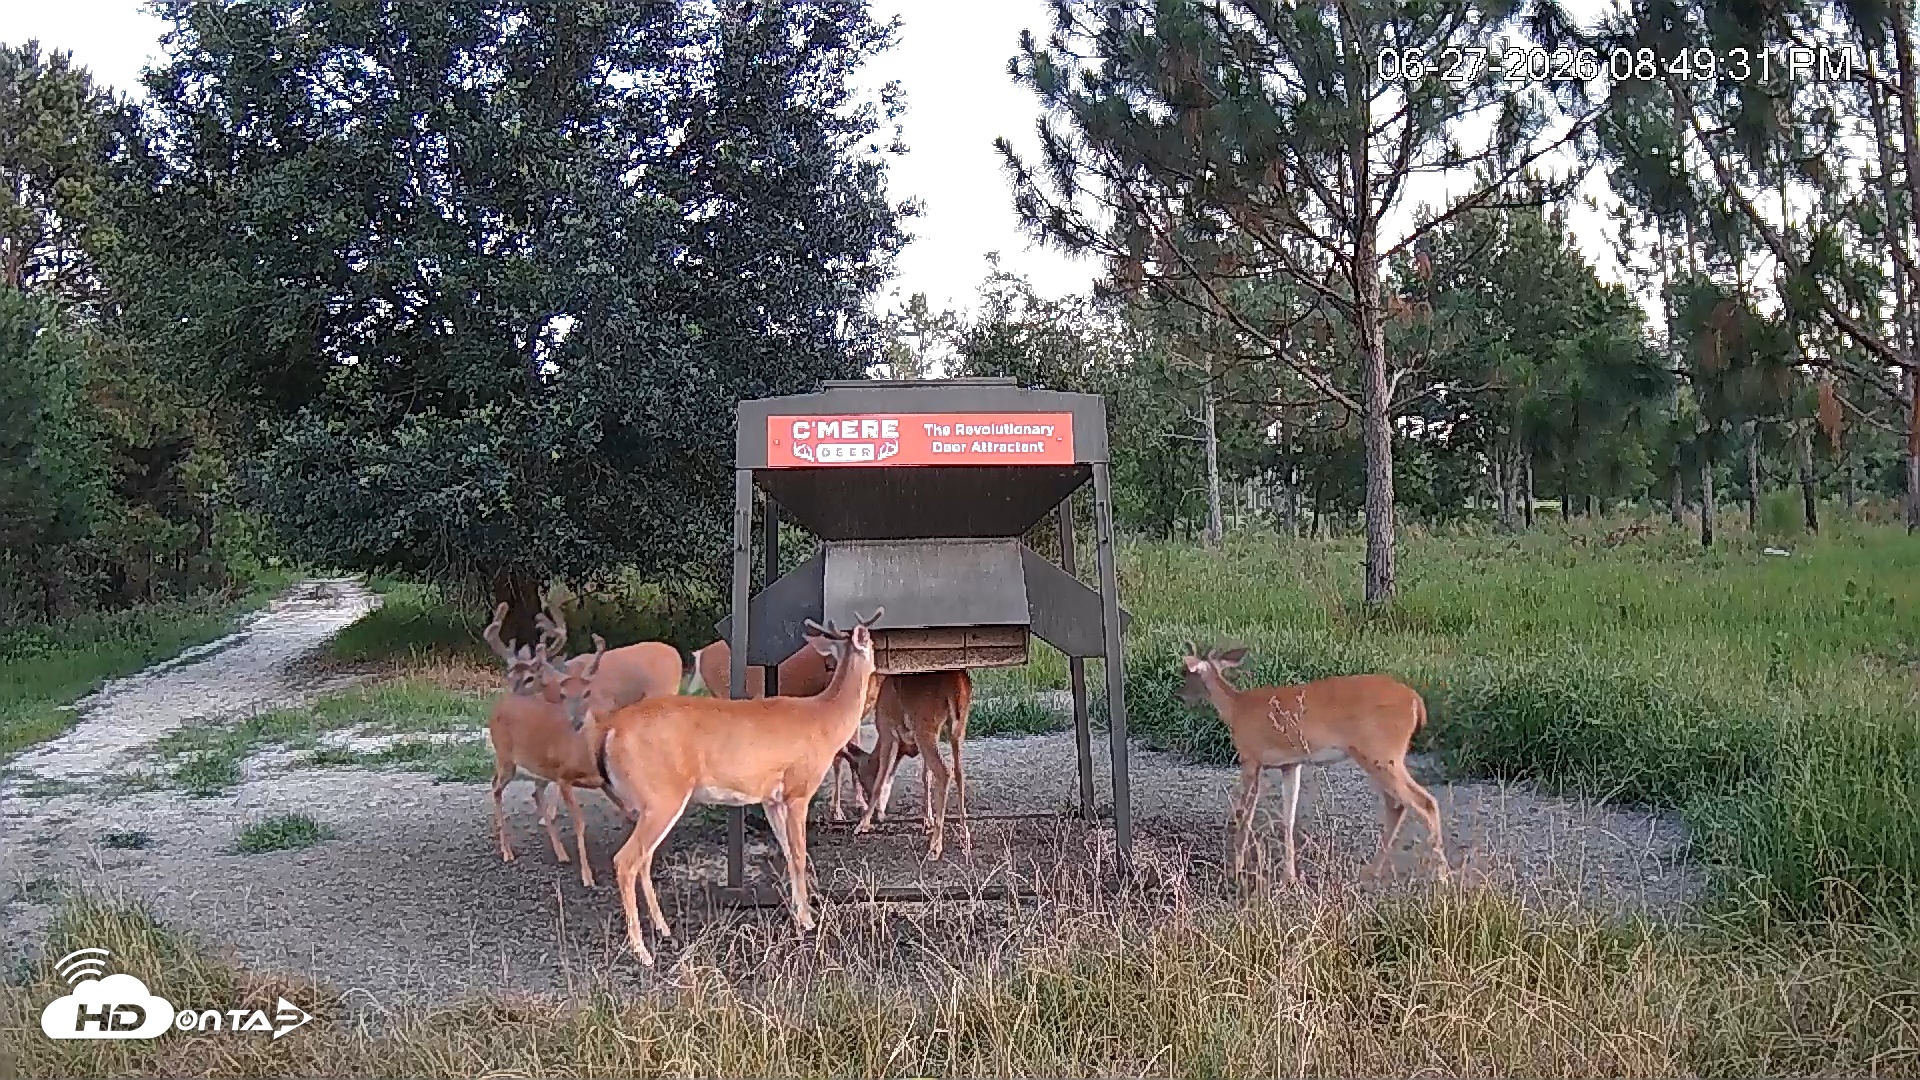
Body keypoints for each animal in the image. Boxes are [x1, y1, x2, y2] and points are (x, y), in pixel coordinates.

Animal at [841, 669, 970, 859]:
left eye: (863, 778)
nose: (879, 815)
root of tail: (957, 686)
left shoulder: (888, 731)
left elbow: (881, 778)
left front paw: (862, 824)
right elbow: (925, 776)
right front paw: (928, 820)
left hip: (925, 727)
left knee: (944, 772)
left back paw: (935, 847)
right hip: (959, 728)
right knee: (959, 772)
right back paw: (965, 837)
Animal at [1179, 643, 1449, 885]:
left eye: (1187, 672)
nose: (1180, 695)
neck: (1235, 708)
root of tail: (1416, 702)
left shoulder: (1250, 758)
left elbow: (1243, 814)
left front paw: (1236, 870)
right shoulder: (1290, 764)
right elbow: (1288, 818)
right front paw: (1289, 877)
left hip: (1381, 754)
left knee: (1423, 802)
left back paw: (1441, 878)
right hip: (1383, 758)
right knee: (1399, 804)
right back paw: (1371, 872)